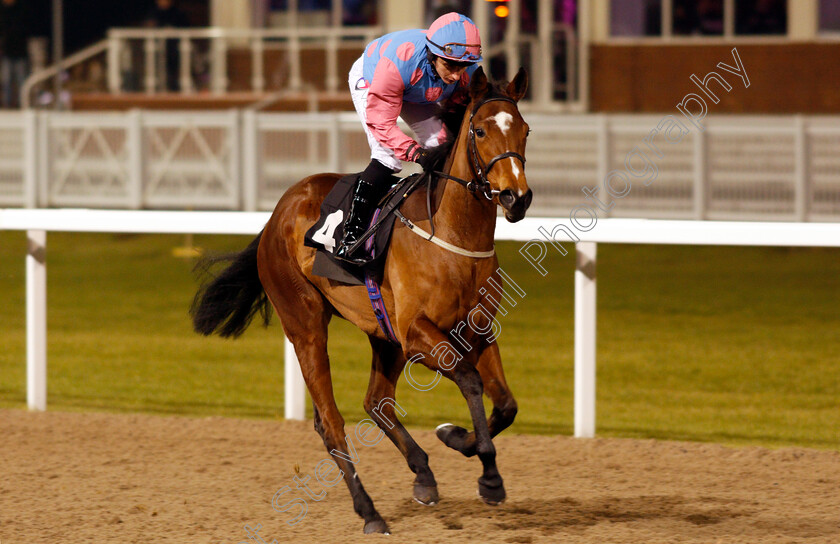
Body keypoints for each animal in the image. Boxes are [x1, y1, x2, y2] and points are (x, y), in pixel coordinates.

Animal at [190, 66, 532, 532]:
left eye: (525, 131)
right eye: (479, 131)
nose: (517, 197)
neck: (453, 237)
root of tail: (278, 212)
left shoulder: (476, 330)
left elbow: (507, 404)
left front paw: (456, 437)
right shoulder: (416, 333)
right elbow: (469, 380)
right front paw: (489, 475)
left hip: (381, 333)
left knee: (376, 402)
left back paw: (423, 475)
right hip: (306, 326)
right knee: (331, 422)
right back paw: (369, 511)